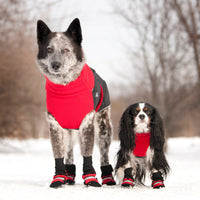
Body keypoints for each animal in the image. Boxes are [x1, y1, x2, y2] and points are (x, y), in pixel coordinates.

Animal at [36, 18, 115, 188]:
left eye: (66, 50)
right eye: (49, 49)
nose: (55, 65)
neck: (66, 87)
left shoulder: (87, 123)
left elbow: (87, 155)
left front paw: (91, 179)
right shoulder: (55, 126)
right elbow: (59, 155)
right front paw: (58, 179)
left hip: (103, 129)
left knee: (104, 155)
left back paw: (108, 179)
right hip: (69, 131)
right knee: (69, 153)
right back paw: (69, 177)